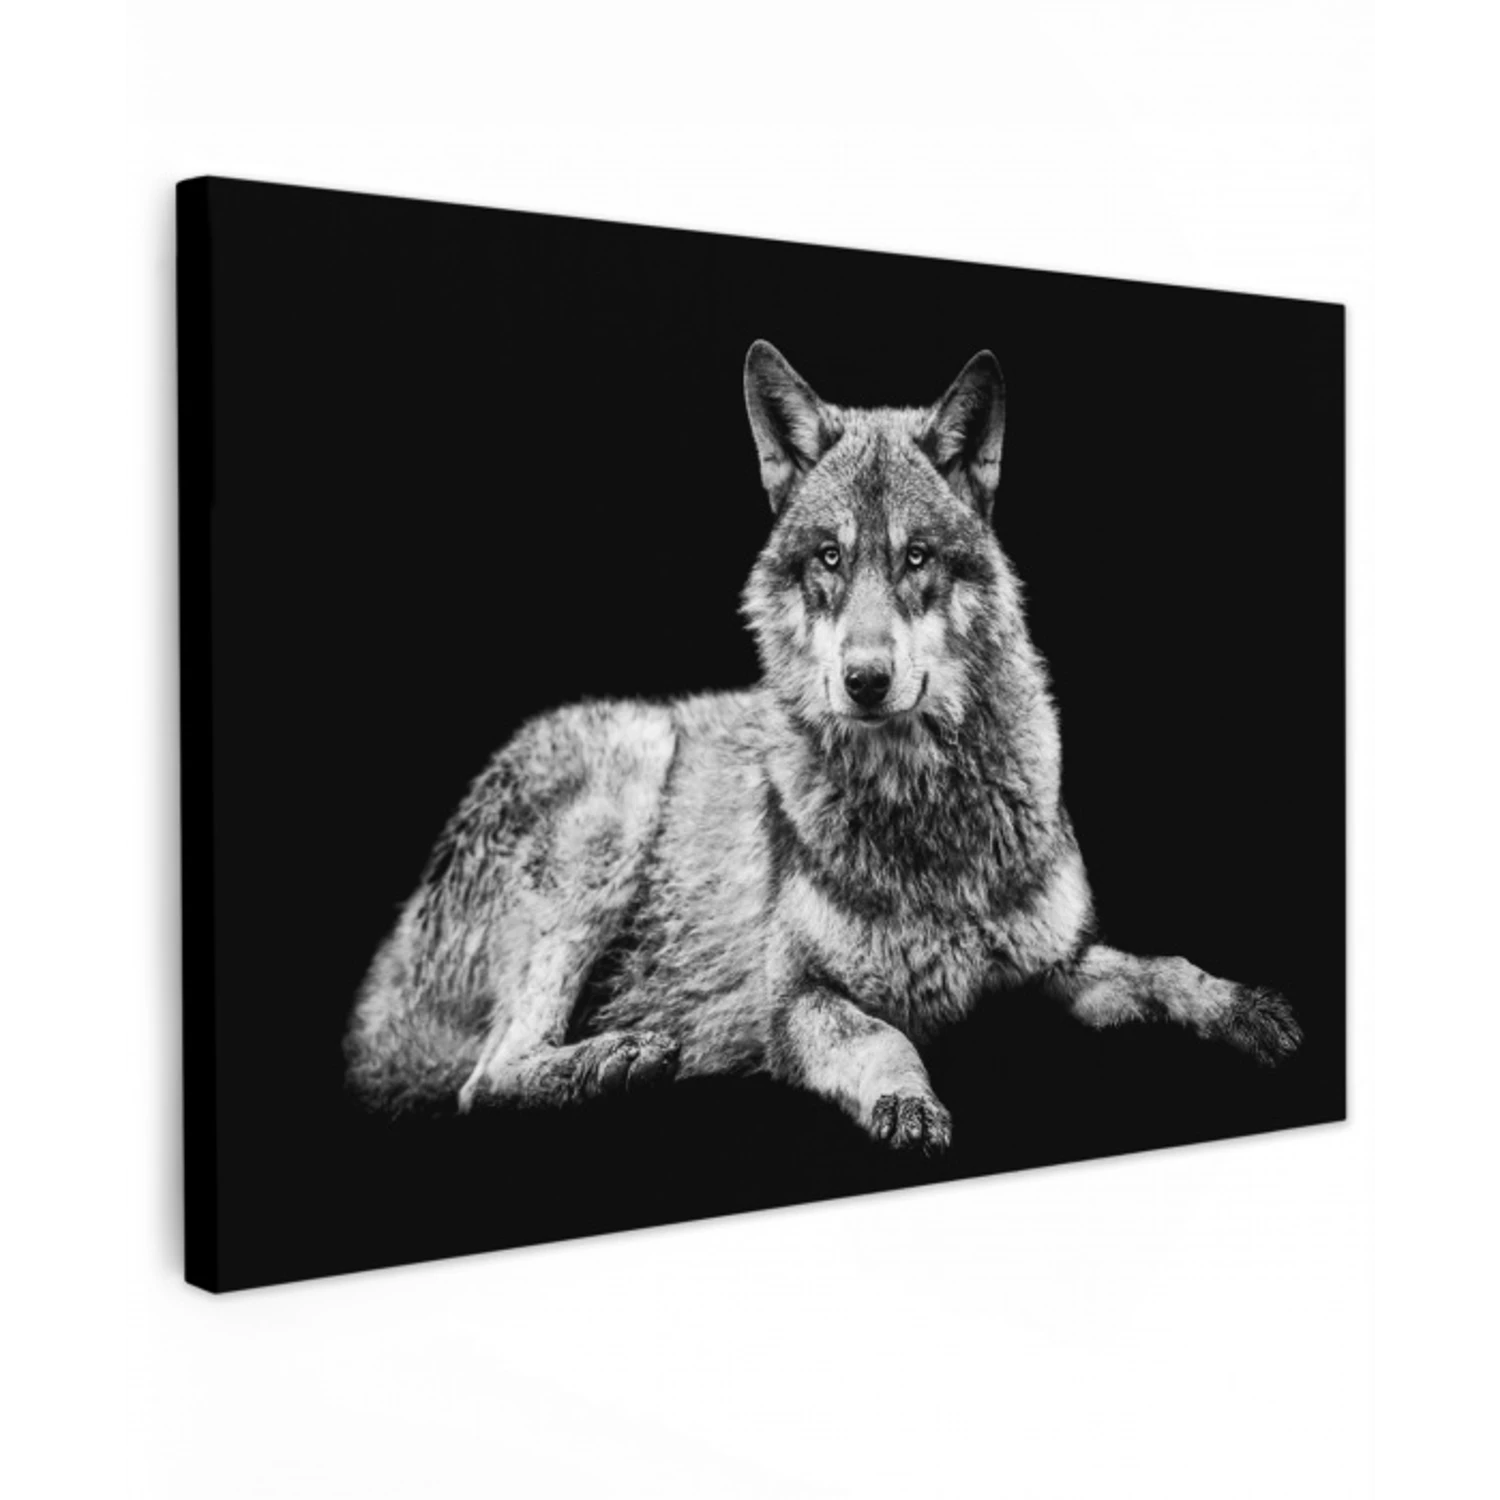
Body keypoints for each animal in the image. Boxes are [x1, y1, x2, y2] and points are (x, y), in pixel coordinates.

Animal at [345, 342, 1301, 1151]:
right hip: (626, 775)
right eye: (831, 559)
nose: (866, 680)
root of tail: (384, 979)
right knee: (482, 1080)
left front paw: (1245, 1008)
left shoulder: (1056, 966)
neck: (925, 817)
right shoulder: (797, 1000)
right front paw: (908, 1104)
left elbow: (1163, 968)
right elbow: (883, 1039)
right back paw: (618, 1059)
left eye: (917, 557)